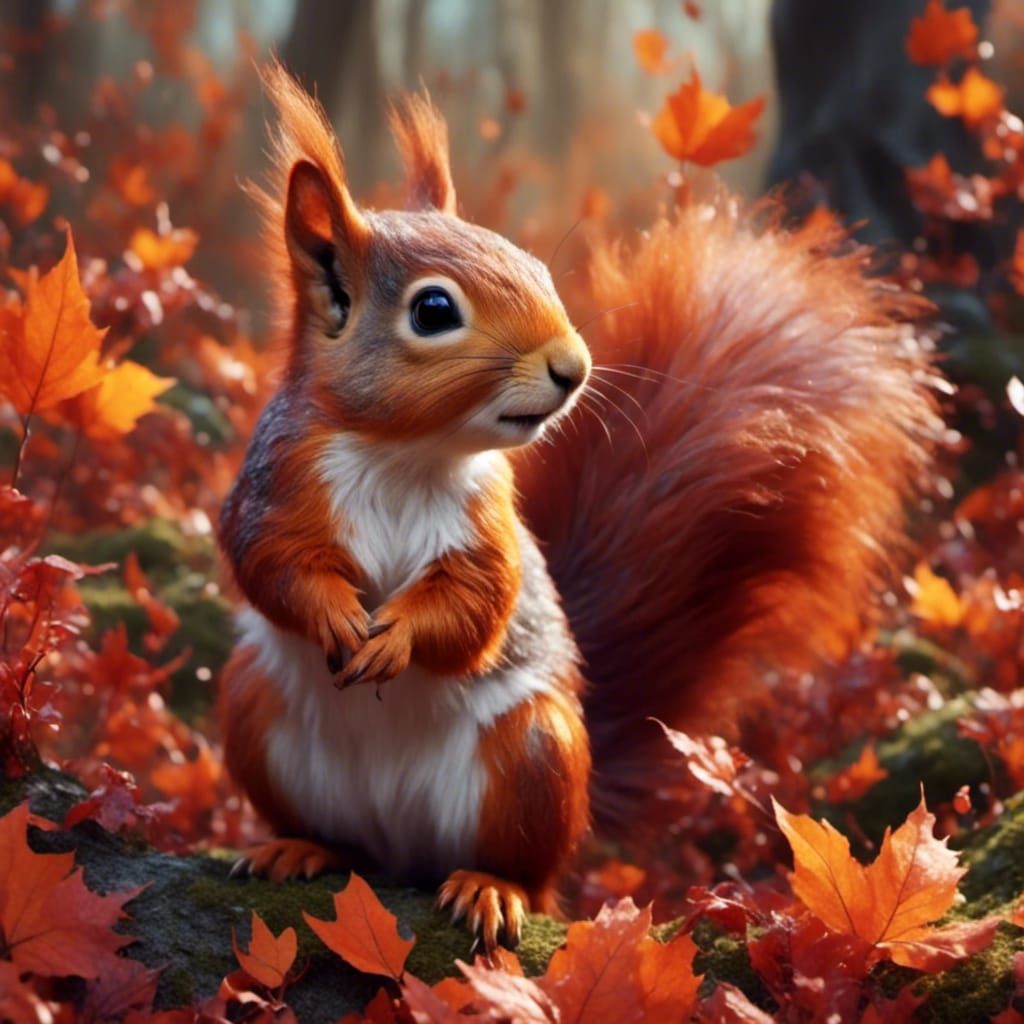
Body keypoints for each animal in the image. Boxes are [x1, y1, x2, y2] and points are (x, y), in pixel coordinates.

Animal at [217, 63, 941, 951]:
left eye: (533, 262)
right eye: (433, 310)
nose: (574, 366)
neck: (402, 453)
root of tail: (397, 851)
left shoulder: (487, 526)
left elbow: (477, 604)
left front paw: (398, 638)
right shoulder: (278, 483)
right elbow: (268, 561)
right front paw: (334, 613)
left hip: (535, 753)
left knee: (530, 870)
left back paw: (490, 887)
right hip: (253, 706)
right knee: (334, 834)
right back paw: (298, 846)